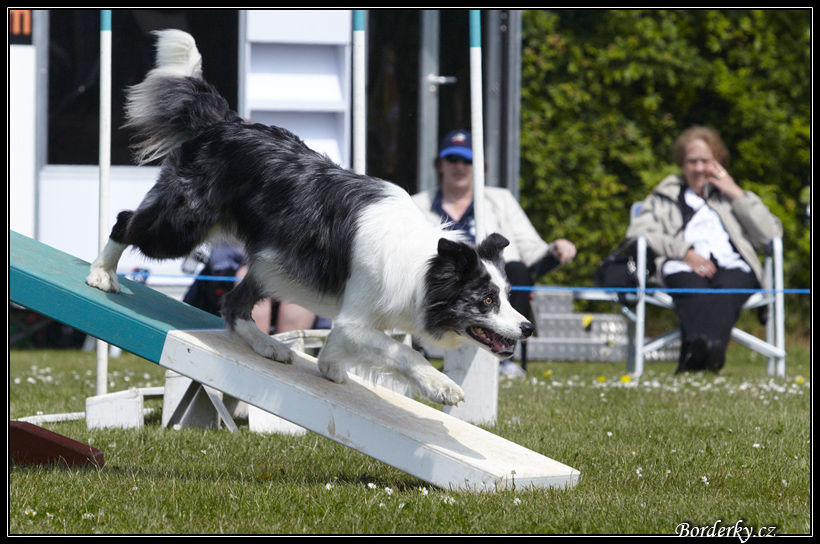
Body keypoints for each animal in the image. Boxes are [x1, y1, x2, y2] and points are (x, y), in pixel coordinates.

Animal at [86, 28, 536, 404]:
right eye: (486, 300)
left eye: (508, 294)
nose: (528, 328)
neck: (424, 264)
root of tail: (225, 123)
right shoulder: (358, 317)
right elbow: (401, 353)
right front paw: (441, 385)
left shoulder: (359, 317)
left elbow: (346, 345)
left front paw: (330, 366)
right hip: (182, 225)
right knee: (126, 220)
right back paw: (101, 274)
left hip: (271, 264)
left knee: (232, 304)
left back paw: (267, 344)